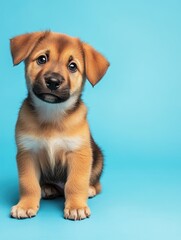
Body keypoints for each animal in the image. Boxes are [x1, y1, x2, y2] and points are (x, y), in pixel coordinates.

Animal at [9, 31, 109, 220]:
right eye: (42, 59)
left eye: (72, 66)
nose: (53, 81)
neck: (52, 114)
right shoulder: (27, 153)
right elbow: (28, 183)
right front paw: (25, 205)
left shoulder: (79, 153)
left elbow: (75, 183)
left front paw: (76, 206)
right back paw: (47, 188)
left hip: (97, 156)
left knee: (95, 184)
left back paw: (90, 189)